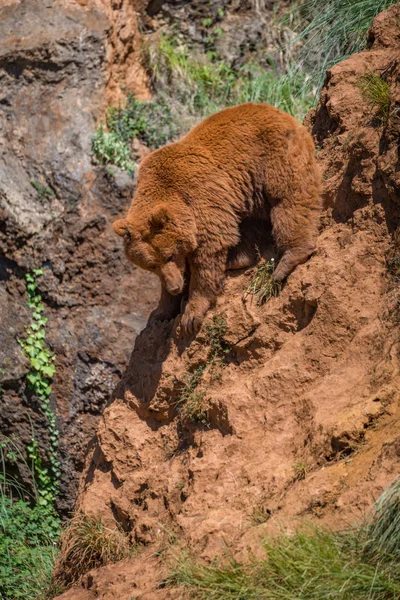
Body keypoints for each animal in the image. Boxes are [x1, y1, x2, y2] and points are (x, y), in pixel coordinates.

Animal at [111, 102, 322, 332]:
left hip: (274, 158)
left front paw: (191, 314)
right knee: (251, 224)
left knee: (288, 199)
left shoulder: (199, 195)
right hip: (246, 192)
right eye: (151, 265)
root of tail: (277, 111)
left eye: (169, 255)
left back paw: (288, 259)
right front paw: (160, 312)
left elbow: (210, 249)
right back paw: (237, 258)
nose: (175, 287)